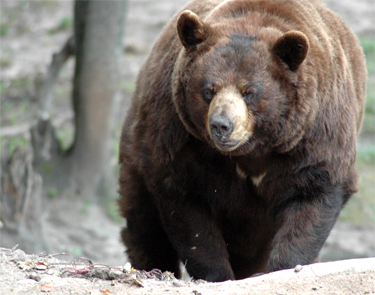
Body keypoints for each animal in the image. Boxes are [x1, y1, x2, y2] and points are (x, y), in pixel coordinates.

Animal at [118, 0, 368, 284]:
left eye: (250, 92)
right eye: (208, 90)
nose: (221, 125)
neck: (253, 151)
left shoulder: (314, 135)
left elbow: (315, 195)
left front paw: (283, 267)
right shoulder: (180, 136)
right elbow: (186, 206)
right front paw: (217, 274)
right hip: (138, 148)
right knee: (143, 222)